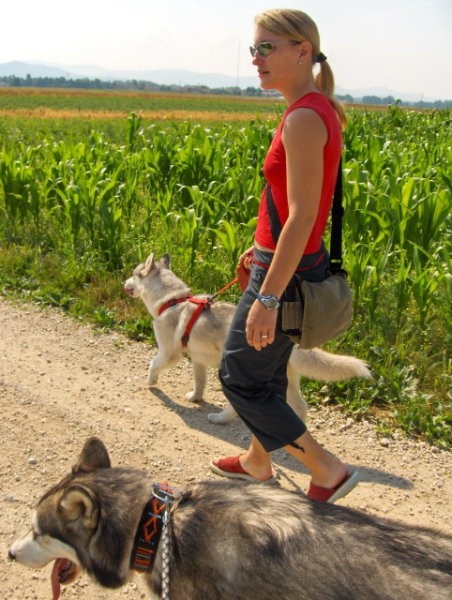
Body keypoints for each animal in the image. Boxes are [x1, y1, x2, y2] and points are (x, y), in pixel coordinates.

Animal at [123, 252, 370, 422]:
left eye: (134, 274)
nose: (125, 282)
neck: (173, 299)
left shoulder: (168, 352)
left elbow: (153, 365)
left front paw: (151, 382)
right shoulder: (198, 359)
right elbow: (200, 382)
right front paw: (195, 397)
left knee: (237, 406)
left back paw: (220, 419)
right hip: (287, 378)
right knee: (300, 406)